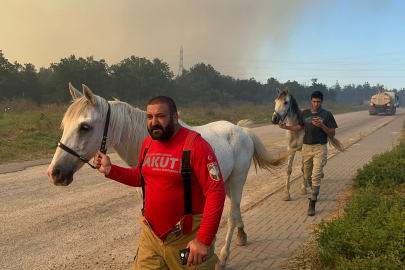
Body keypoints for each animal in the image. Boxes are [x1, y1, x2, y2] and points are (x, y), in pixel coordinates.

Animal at [47, 83, 290, 268]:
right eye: (64, 124)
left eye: (85, 127)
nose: (54, 173)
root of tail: (240, 130)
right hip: (227, 183)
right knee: (236, 210)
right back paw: (240, 236)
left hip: (237, 180)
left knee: (231, 215)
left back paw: (222, 258)